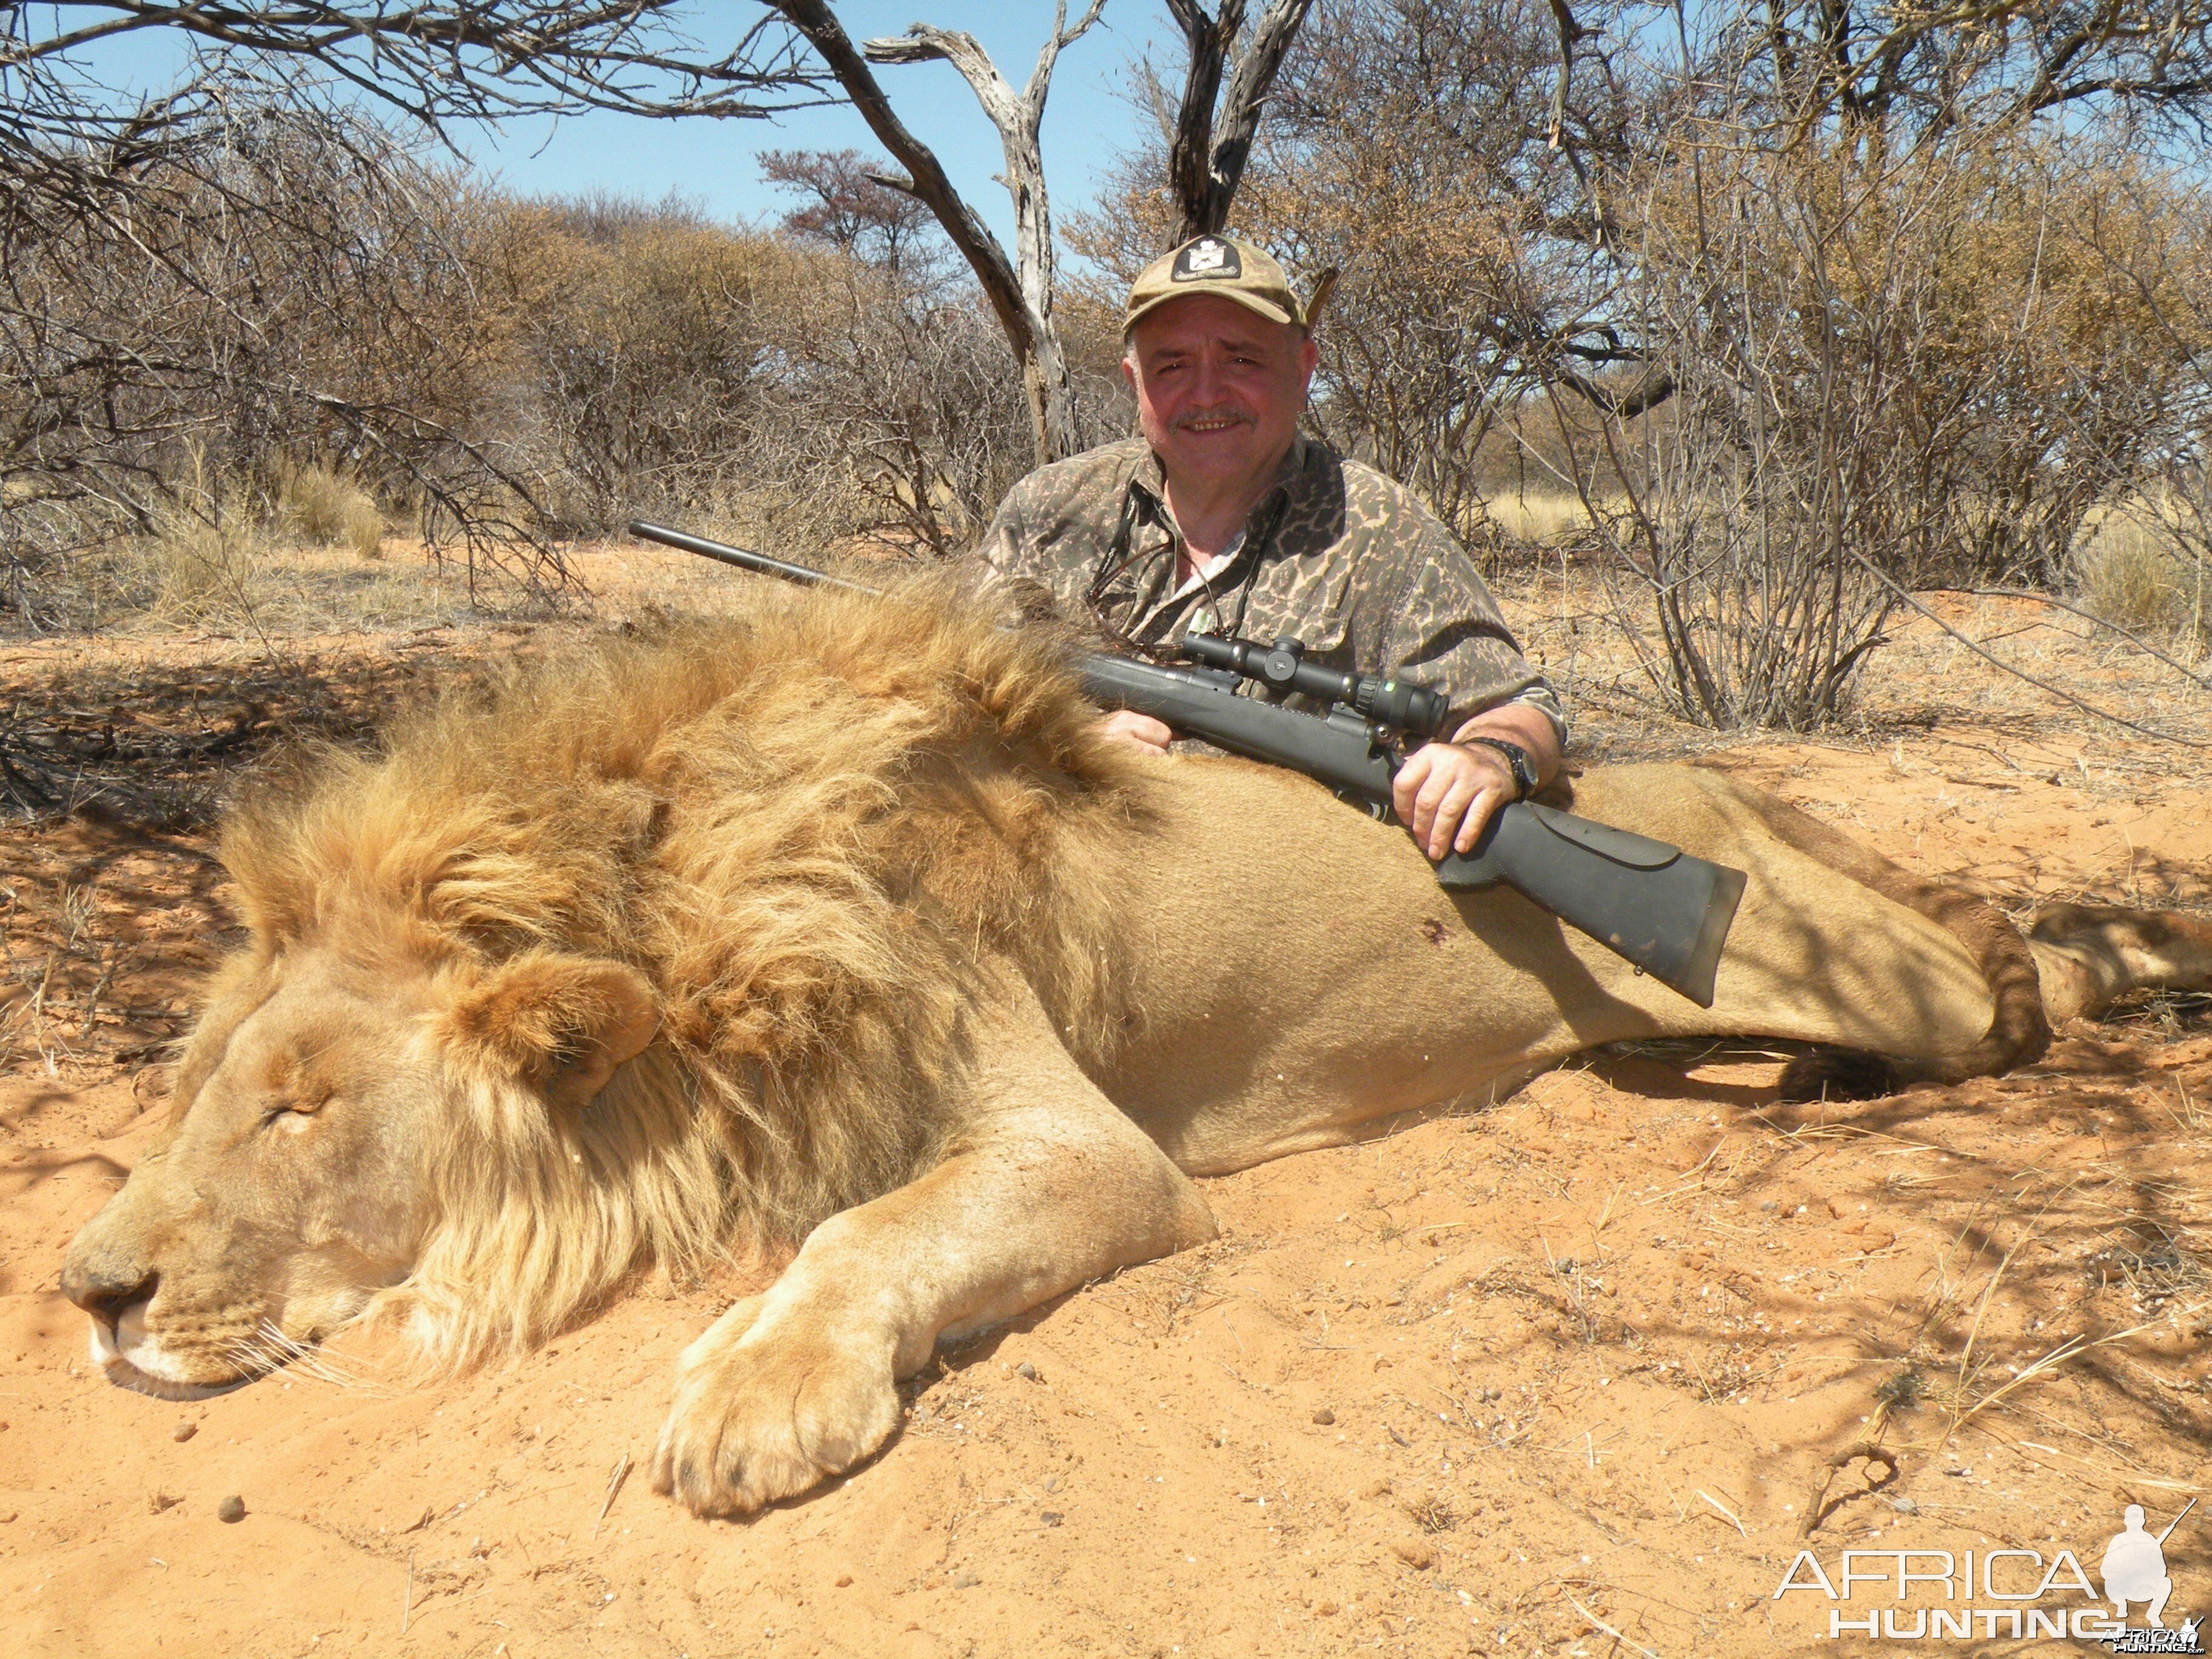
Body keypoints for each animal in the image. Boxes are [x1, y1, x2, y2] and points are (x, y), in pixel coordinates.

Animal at [60, 571, 2203, 1521]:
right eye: (193, 1092)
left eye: (302, 1107)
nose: (91, 1294)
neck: (701, 911)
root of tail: (1698, 791)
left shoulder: (1082, 1148)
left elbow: (857, 1235)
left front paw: (751, 1401)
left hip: (1843, 965)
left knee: (2015, 973)